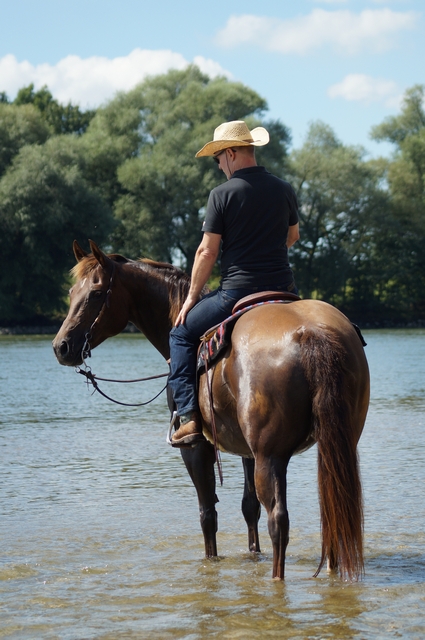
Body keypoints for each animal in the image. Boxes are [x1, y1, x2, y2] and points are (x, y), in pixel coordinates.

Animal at [54, 240, 370, 580]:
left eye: (97, 293)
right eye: (71, 292)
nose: (61, 346)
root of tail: (310, 332)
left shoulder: (196, 448)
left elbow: (208, 514)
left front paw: (211, 560)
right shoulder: (246, 450)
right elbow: (248, 507)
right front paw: (252, 553)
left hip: (270, 456)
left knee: (278, 520)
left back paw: (277, 578)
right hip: (335, 443)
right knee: (332, 504)